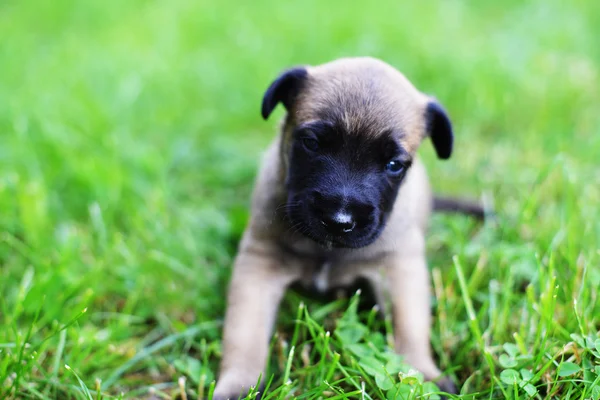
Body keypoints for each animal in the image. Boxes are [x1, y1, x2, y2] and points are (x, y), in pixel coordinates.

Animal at [213, 57, 476, 398]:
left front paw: (422, 373)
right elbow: (245, 332)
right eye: (311, 144)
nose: (339, 220)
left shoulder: (400, 269)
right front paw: (240, 382)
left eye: (394, 165)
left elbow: (410, 325)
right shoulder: (259, 265)